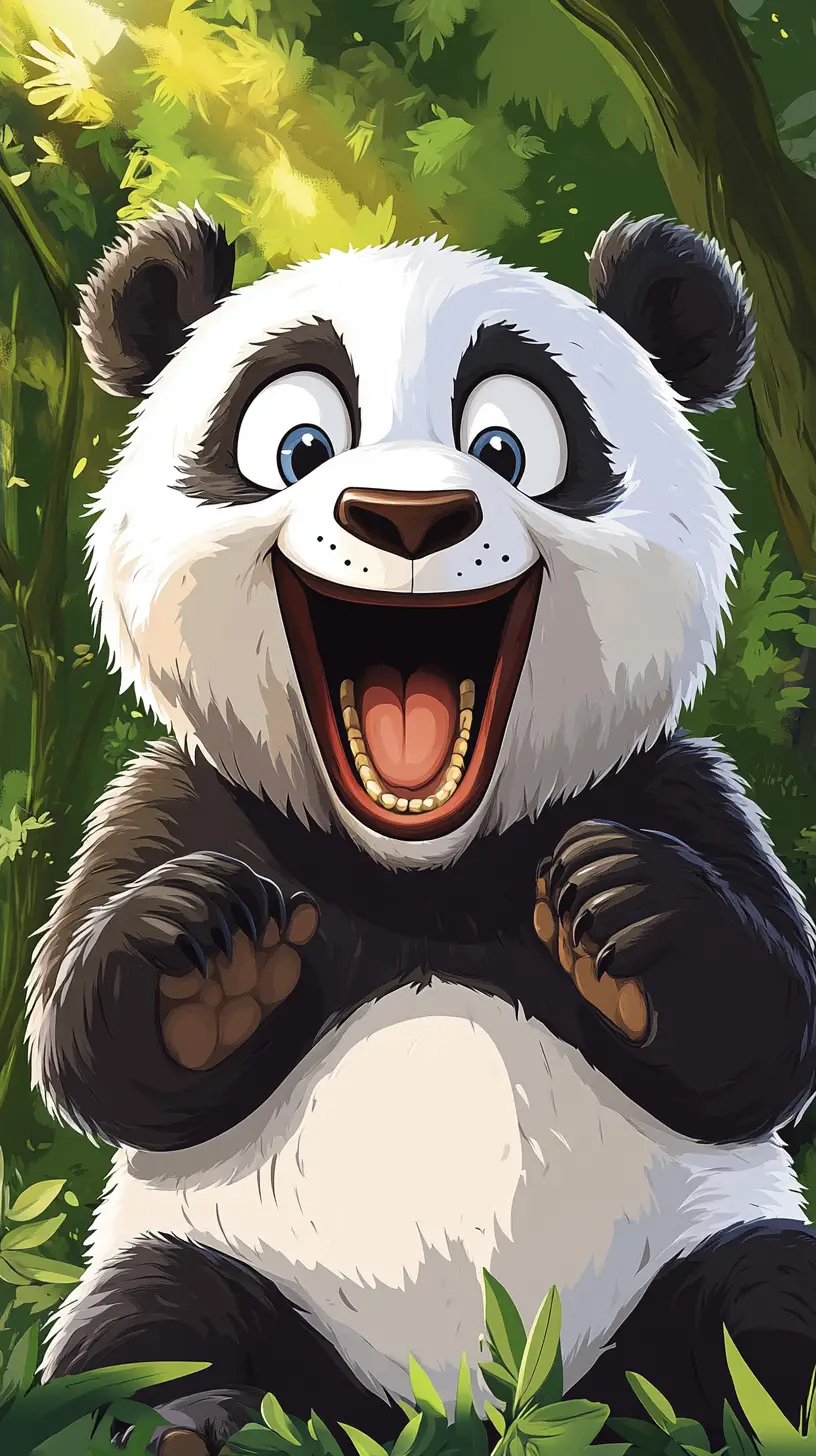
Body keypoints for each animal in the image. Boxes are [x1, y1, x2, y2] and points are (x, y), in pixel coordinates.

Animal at [26, 202, 816, 1455]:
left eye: (510, 446)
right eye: (298, 445)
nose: (407, 517)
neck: (420, 868)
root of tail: (473, 1409)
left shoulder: (674, 787)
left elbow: (767, 1036)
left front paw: (617, 910)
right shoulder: (181, 798)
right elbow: (92, 1056)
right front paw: (210, 960)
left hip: (688, 1259)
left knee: (766, 1295)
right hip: (216, 1256)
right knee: (143, 1326)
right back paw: (193, 1420)